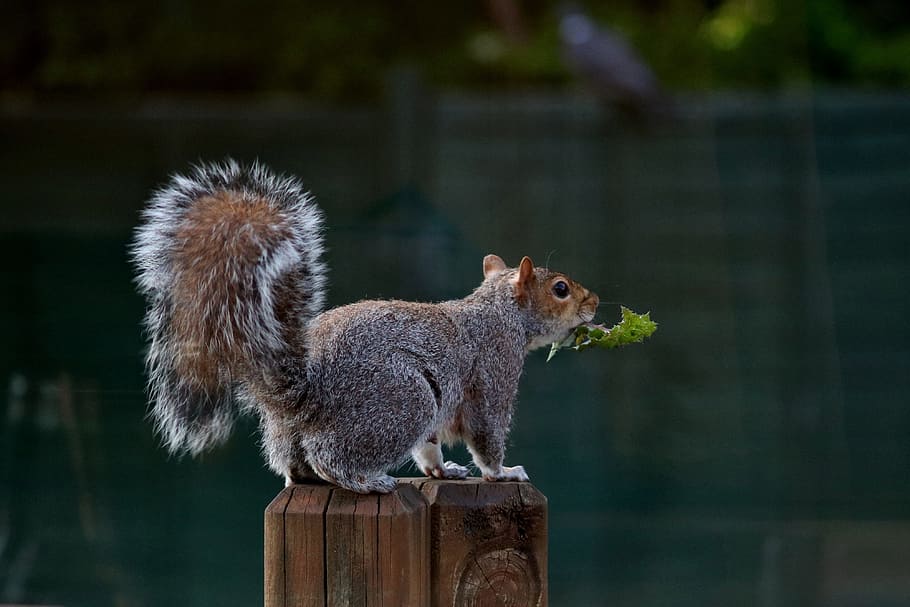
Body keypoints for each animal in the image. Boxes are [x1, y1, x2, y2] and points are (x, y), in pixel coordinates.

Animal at [132, 160, 599, 494]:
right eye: (560, 289)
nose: (593, 303)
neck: (500, 313)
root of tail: (309, 392)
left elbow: (429, 446)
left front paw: (443, 471)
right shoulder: (492, 373)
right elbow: (486, 433)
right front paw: (503, 473)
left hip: (300, 431)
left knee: (297, 468)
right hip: (403, 399)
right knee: (331, 457)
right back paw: (367, 481)